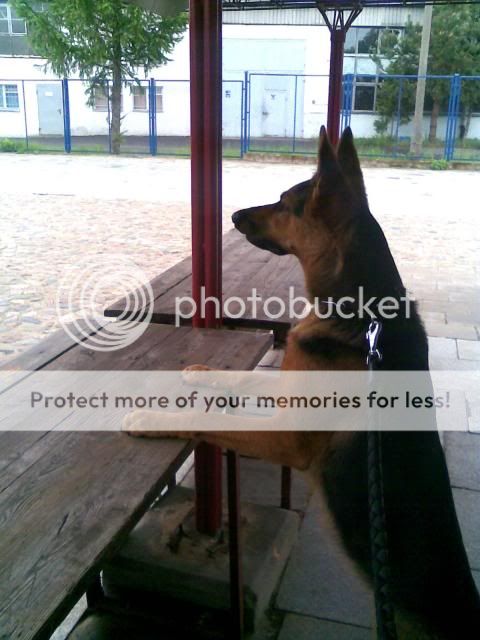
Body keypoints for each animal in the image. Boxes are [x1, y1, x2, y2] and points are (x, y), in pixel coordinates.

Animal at [124, 127, 480, 638]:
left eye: (284, 202)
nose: (233, 215)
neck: (363, 314)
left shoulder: (286, 438)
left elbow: (207, 421)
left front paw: (150, 417)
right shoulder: (285, 391)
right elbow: (236, 380)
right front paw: (201, 373)